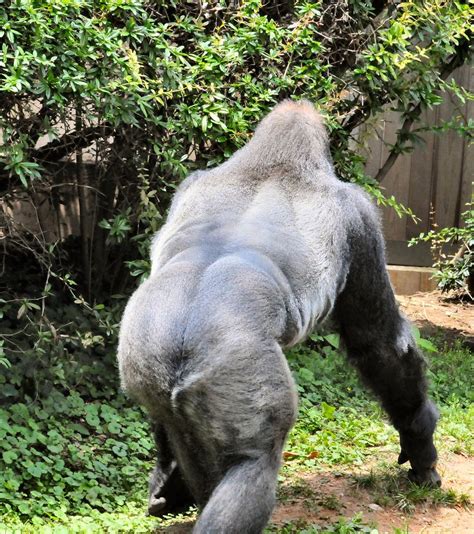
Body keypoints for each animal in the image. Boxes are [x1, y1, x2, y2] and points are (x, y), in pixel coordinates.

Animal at [115, 101, 440, 534]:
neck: (271, 162)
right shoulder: (359, 215)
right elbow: (380, 345)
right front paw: (420, 440)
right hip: (232, 371)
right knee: (254, 463)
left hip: (144, 363)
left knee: (172, 426)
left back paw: (171, 486)